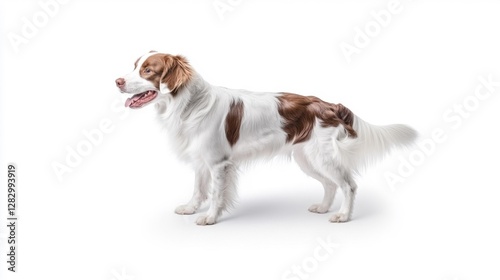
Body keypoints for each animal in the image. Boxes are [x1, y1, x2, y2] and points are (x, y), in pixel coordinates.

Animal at [115, 50, 416, 225]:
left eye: (148, 70)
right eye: (134, 66)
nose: (117, 81)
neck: (189, 104)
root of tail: (328, 105)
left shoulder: (218, 162)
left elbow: (215, 193)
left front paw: (209, 218)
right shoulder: (201, 161)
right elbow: (198, 189)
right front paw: (190, 208)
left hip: (321, 156)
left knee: (348, 185)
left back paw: (343, 215)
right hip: (307, 159)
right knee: (331, 184)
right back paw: (323, 208)